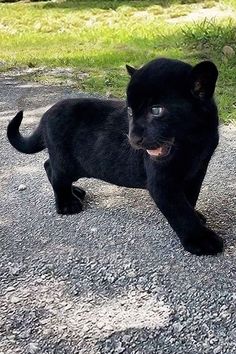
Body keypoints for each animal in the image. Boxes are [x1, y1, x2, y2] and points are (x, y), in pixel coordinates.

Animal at [7, 59, 223, 256]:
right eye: (130, 111)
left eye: (156, 110)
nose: (133, 138)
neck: (193, 142)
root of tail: (46, 114)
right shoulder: (162, 182)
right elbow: (179, 210)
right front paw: (201, 240)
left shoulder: (197, 172)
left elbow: (190, 198)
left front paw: (197, 217)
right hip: (65, 161)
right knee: (56, 174)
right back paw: (68, 204)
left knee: (48, 166)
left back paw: (75, 192)